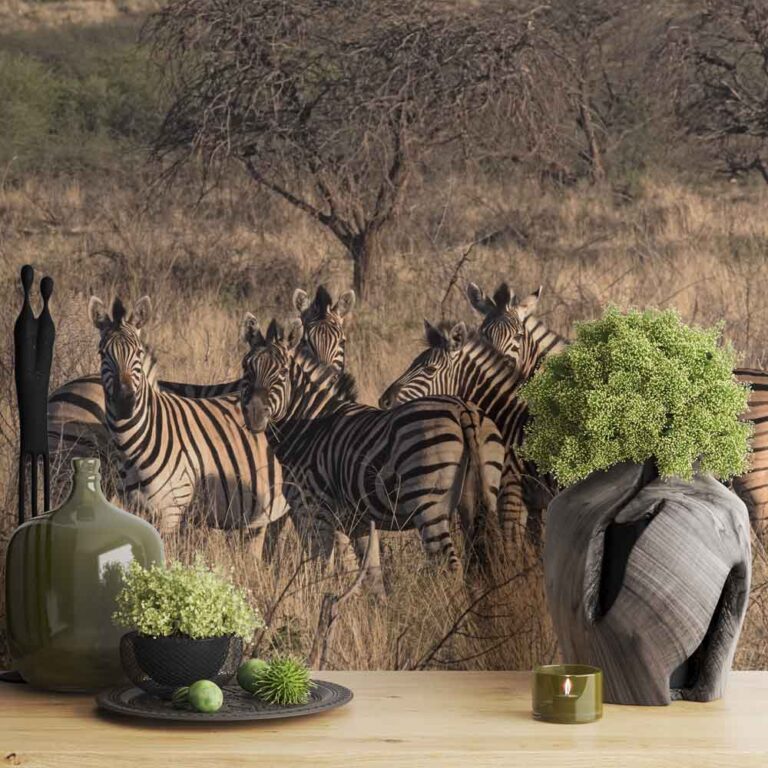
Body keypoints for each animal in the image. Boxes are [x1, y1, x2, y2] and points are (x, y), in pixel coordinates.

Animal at [87, 295, 289, 550]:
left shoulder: (170, 511)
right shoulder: (134, 508)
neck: (134, 443)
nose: (125, 402)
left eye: (138, 352)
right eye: (102, 353)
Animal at [238, 317, 504, 572]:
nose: (254, 414)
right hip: (480, 497)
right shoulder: (357, 522)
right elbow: (365, 571)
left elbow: (320, 567)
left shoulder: (312, 511)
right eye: (246, 368)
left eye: (283, 372)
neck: (309, 426)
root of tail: (462, 410)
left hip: (429, 505)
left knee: (451, 565)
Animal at [379, 319, 543, 552]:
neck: (511, 419)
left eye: (430, 370)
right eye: (411, 364)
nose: (383, 401)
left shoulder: (512, 492)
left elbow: (515, 548)